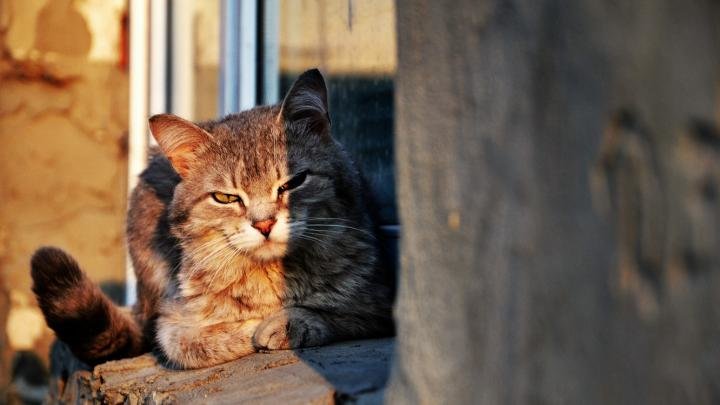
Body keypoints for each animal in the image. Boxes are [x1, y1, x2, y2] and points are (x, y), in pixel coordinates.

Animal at [31, 69, 394, 370]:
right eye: (225, 198)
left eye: (292, 183)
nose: (264, 224)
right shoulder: (172, 321)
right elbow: (193, 342)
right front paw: (252, 329)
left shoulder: (378, 301)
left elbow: (339, 314)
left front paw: (287, 323)